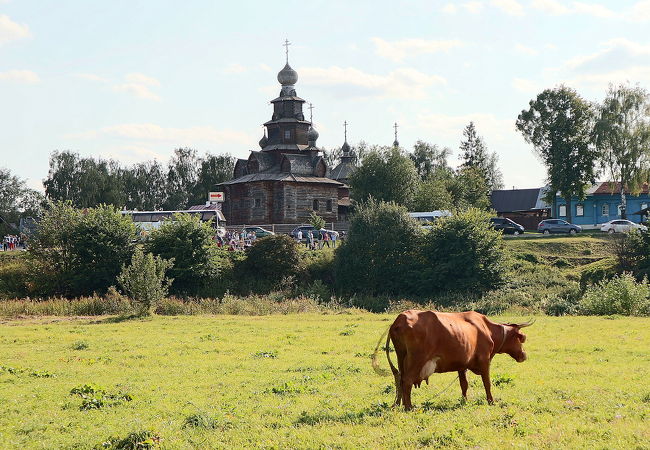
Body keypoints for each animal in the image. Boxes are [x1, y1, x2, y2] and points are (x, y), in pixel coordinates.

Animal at [370, 312, 532, 410]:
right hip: (416, 360)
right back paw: (409, 407)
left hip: (401, 356)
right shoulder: (485, 361)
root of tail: (399, 320)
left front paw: (465, 400)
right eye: (521, 337)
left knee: (400, 379)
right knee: (407, 381)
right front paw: (491, 401)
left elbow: (464, 385)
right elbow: (487, 383)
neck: (486, 329)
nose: (524, 355)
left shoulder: (462, 365)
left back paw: (401, 404)